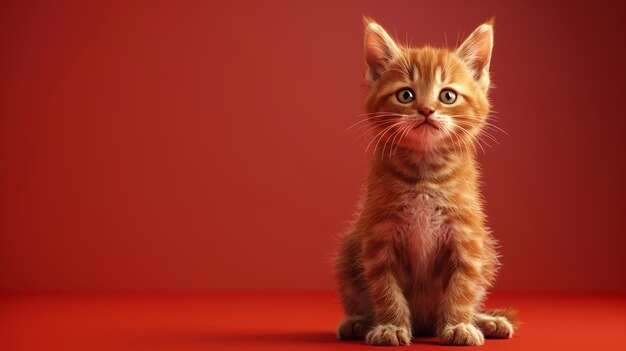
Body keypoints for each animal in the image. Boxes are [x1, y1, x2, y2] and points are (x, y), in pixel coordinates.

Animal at [334, 18, 516, 346]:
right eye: (406, 95)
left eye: (448, 95)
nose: (427, 110)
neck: (425, 175)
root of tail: (425, 324)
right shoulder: (378, 235)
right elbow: (385, 288)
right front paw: (391, 326)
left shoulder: (468, 236)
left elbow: (462, 287)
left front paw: (458, 325)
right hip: (347, 253)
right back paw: (358, 322)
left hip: (488, 252)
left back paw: (486, 321)